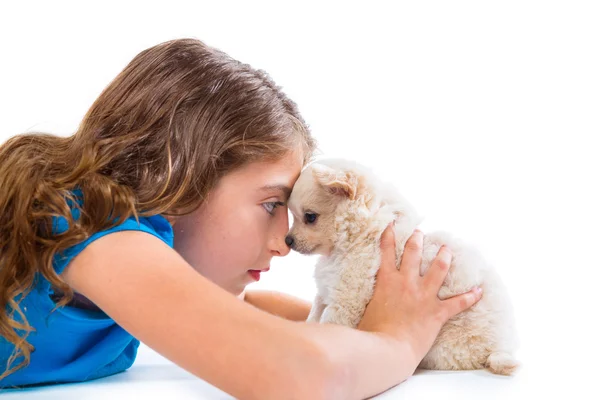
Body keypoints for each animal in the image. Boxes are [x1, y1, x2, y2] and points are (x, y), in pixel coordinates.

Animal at [288, 159, 520, 376]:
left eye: (310, 217)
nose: (288, 240)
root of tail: (499, 348)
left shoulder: (347, 298)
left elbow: (330, 326)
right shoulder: (325, 291)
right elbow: (314, 315)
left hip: (444, 345)